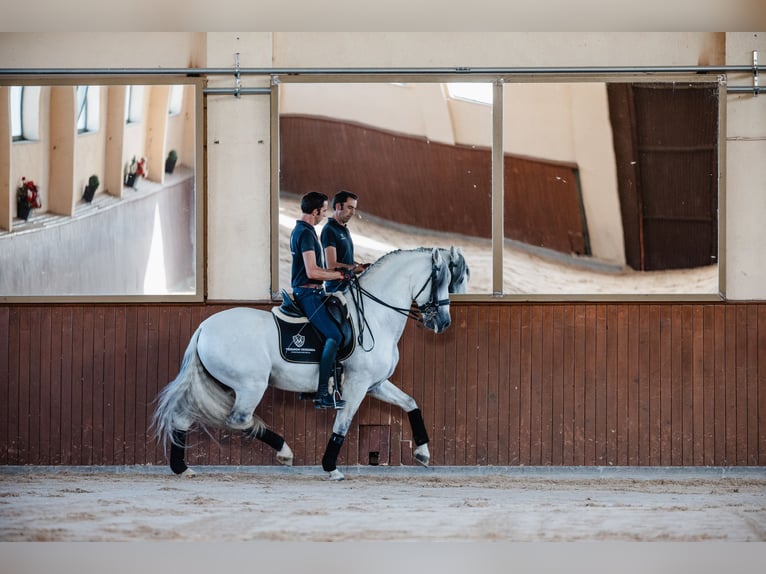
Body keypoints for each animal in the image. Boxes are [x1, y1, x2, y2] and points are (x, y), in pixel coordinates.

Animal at [153, 248, 472, 482]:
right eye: (441, 281)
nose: (443, 323)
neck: (375, 315)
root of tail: (203, 328)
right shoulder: (357, 385)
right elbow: (342, 424)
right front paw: (331, 467)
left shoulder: (376, 384)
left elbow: (411, 403)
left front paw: (423, 453)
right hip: (249, 385)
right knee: (238, 420)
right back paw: (284, 452)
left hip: (215, 382)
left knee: (183, 417)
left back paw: (182, 468)